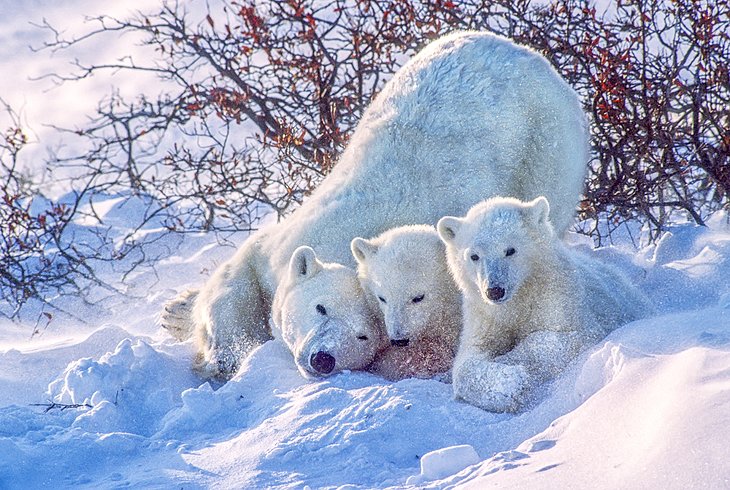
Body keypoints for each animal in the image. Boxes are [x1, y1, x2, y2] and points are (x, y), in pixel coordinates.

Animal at [175, 30, 584, 378]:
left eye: (363, 336)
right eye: (321, 307)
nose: (323, 358)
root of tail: (531, 55)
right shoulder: (290, 236)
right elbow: (238, 279)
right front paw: (217, 349)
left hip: (547, 149)